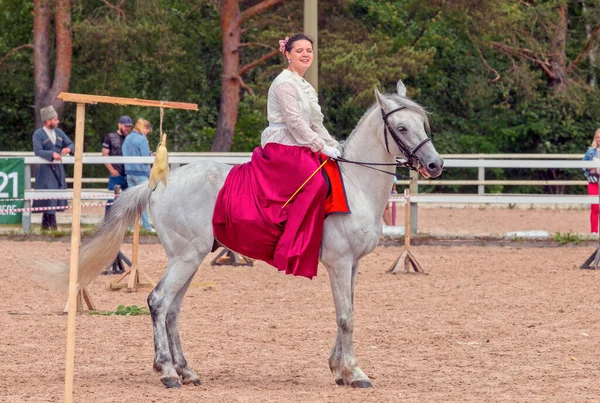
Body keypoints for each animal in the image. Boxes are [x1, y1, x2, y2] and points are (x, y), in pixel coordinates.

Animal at [44, 81, 442, 388]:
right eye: (401, 128)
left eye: (423, 123)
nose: (435, 164)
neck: (356, 184)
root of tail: (158, 184)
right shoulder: (340, 263)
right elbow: (346, 316)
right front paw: (354, 373)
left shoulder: (353, 265)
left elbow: (347, 312)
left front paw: (339, 368)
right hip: (186, 258)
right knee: (158, 301)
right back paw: (168, 372)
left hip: (189, 259)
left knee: (172, 309)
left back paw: (186, 371)